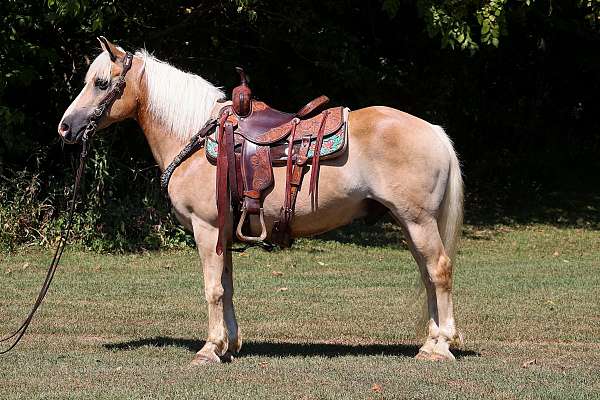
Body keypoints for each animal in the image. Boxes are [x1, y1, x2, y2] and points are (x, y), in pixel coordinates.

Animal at [57, 37, 464, 362]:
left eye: (101, 83)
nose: (65, 127)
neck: (194, 138)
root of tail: (434, 131)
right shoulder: (221, 233)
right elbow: (227, 287)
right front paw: (229, 344)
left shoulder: (206, 229)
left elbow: (212, 289)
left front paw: (209, 349)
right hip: (411, 223)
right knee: (427, 274)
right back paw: (429, 344)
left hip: (418, 220)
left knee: (439, 270)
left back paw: (442, 346)